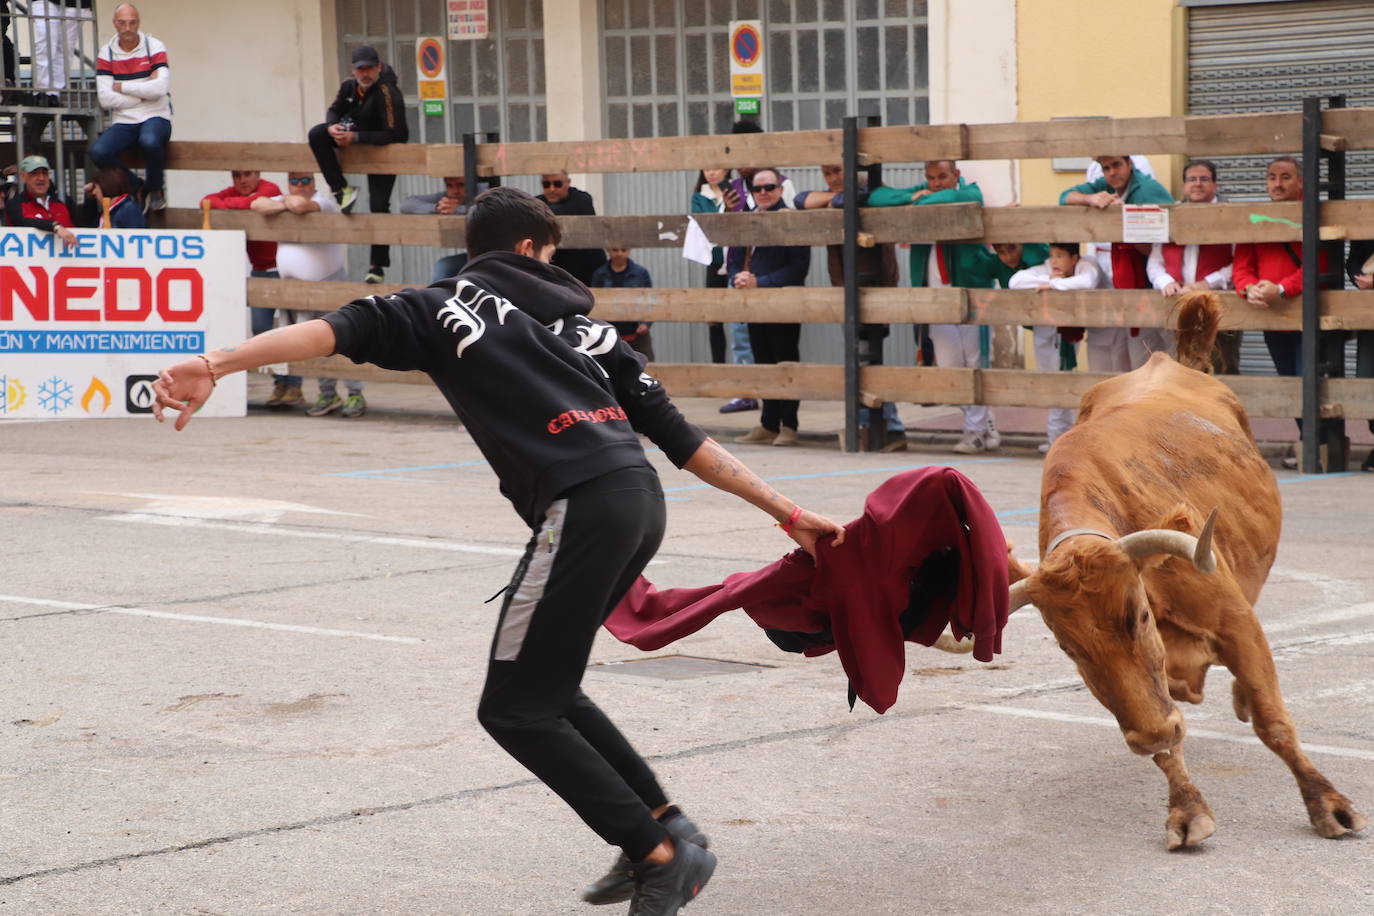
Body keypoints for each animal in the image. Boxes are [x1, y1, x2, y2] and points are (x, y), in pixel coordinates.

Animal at [1005, 289, 1368, 851]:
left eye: (1139, 617)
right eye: (1068, 647)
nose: (1147, 735)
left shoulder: (1237, 623)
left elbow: (1273, 719)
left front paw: (1327, 803)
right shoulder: (1153, 689)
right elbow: (1165, 724)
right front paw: (1186, 807)